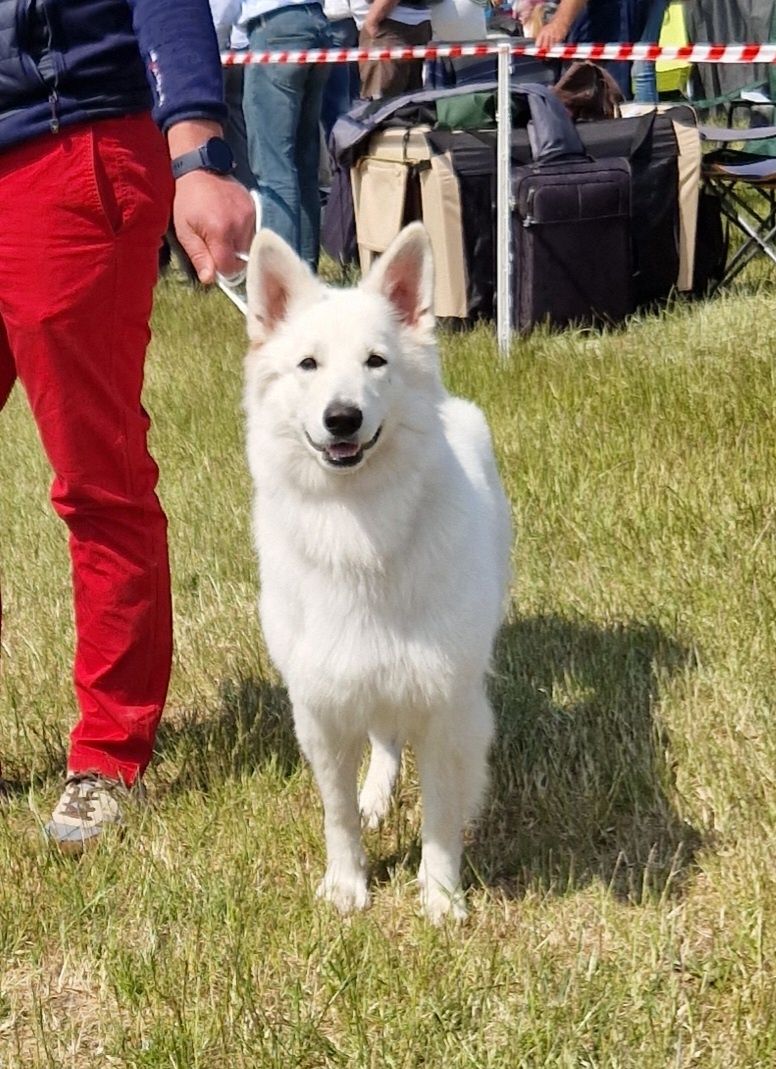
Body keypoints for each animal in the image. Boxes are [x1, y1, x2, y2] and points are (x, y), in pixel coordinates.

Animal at [245, 223, 513, 919]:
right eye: (308, 365)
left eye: (376, 362)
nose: (342, 418)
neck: (360, 527)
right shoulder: (323, 705)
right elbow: (336, 813)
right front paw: (347, 885)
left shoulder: (446, 706)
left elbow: (442, 818)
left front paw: (441, 898)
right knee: (385, 742)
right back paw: (377, 794)